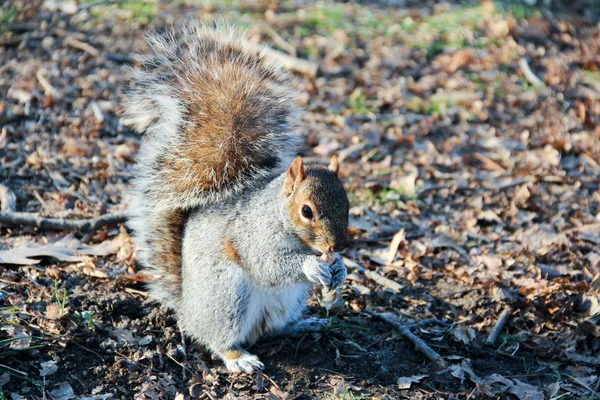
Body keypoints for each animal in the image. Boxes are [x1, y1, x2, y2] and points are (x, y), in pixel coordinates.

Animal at [125, 22, 352, 372]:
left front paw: (340, 268)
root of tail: (187, 308)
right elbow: (267, 263)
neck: (278, 214)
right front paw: (313, 267)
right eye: (306, 211)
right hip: (227, 296)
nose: (336, 247)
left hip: (287, 300)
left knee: (271, 329)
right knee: (219, 339)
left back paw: (303, 324)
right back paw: (238, 358)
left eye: (348, 205)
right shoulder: (253, 235)